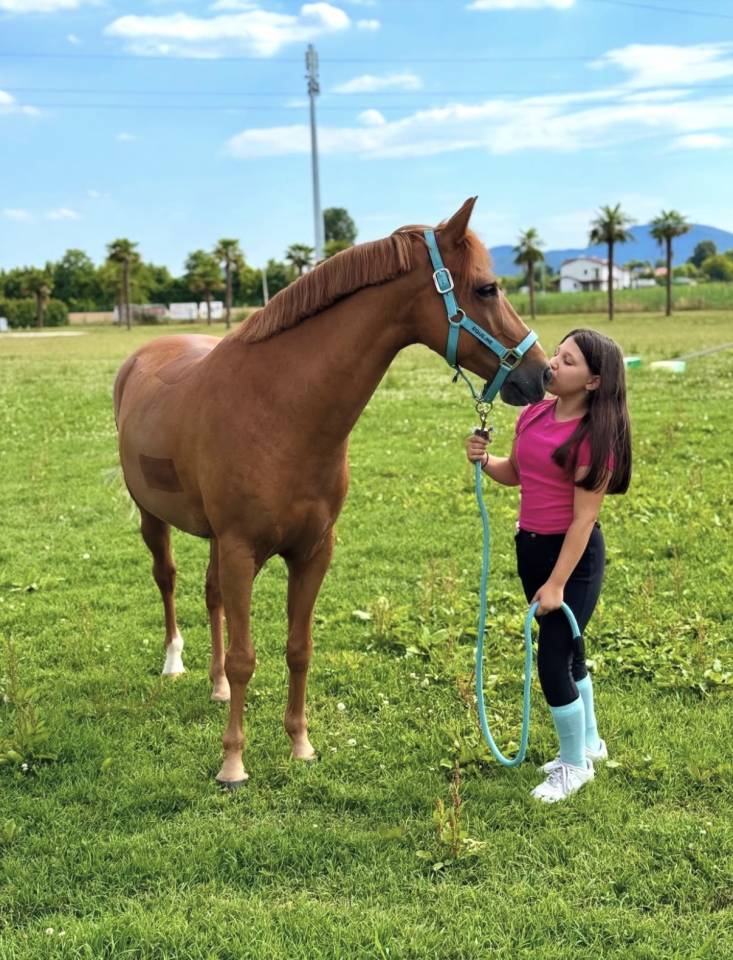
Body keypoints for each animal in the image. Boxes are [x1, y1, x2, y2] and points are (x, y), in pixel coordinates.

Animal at [113, 198, 550, 787]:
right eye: (486, 288)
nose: (541, 373)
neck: (280, 411)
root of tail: (144, 354)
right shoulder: (241, 549)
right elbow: (246, 658)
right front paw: (233, 762)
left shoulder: (313, 551)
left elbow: (299, 648)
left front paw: (300, 743)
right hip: (153, 518)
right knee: (168, 579)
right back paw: (175, 662)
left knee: (210, 596)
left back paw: (215, 685)